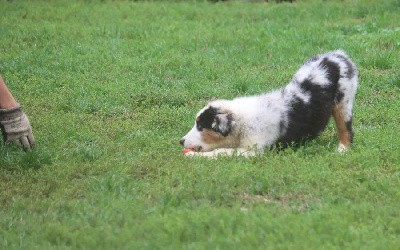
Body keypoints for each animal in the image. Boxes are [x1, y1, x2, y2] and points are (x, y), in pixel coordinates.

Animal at [180, 49, 358, 157]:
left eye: (201, 126)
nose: (180, 141)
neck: (242, 123)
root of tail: (337, 55)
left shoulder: (254, 150)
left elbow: (222, 152)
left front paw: (193, 155)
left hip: (344, 100)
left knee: (346, 129)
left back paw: (342, 149)